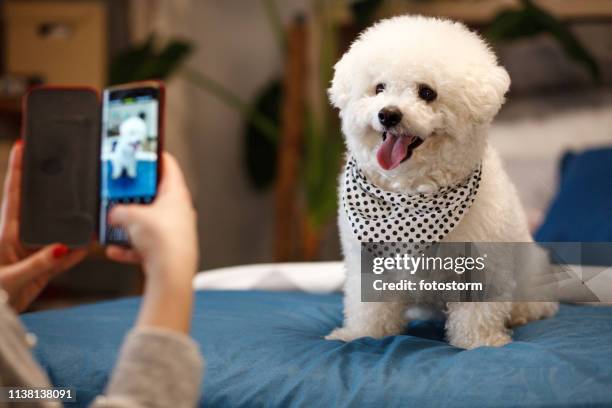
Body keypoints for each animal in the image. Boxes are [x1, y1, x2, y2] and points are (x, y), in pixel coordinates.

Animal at [328, 15, 556, 348]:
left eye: (427, 93)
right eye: (379, 88)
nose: (388, 115)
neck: (411, 195)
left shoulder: (480, 265)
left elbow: (477, 312)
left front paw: (480, 342)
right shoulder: (368, 263)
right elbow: (369, 307)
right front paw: (361, 334)